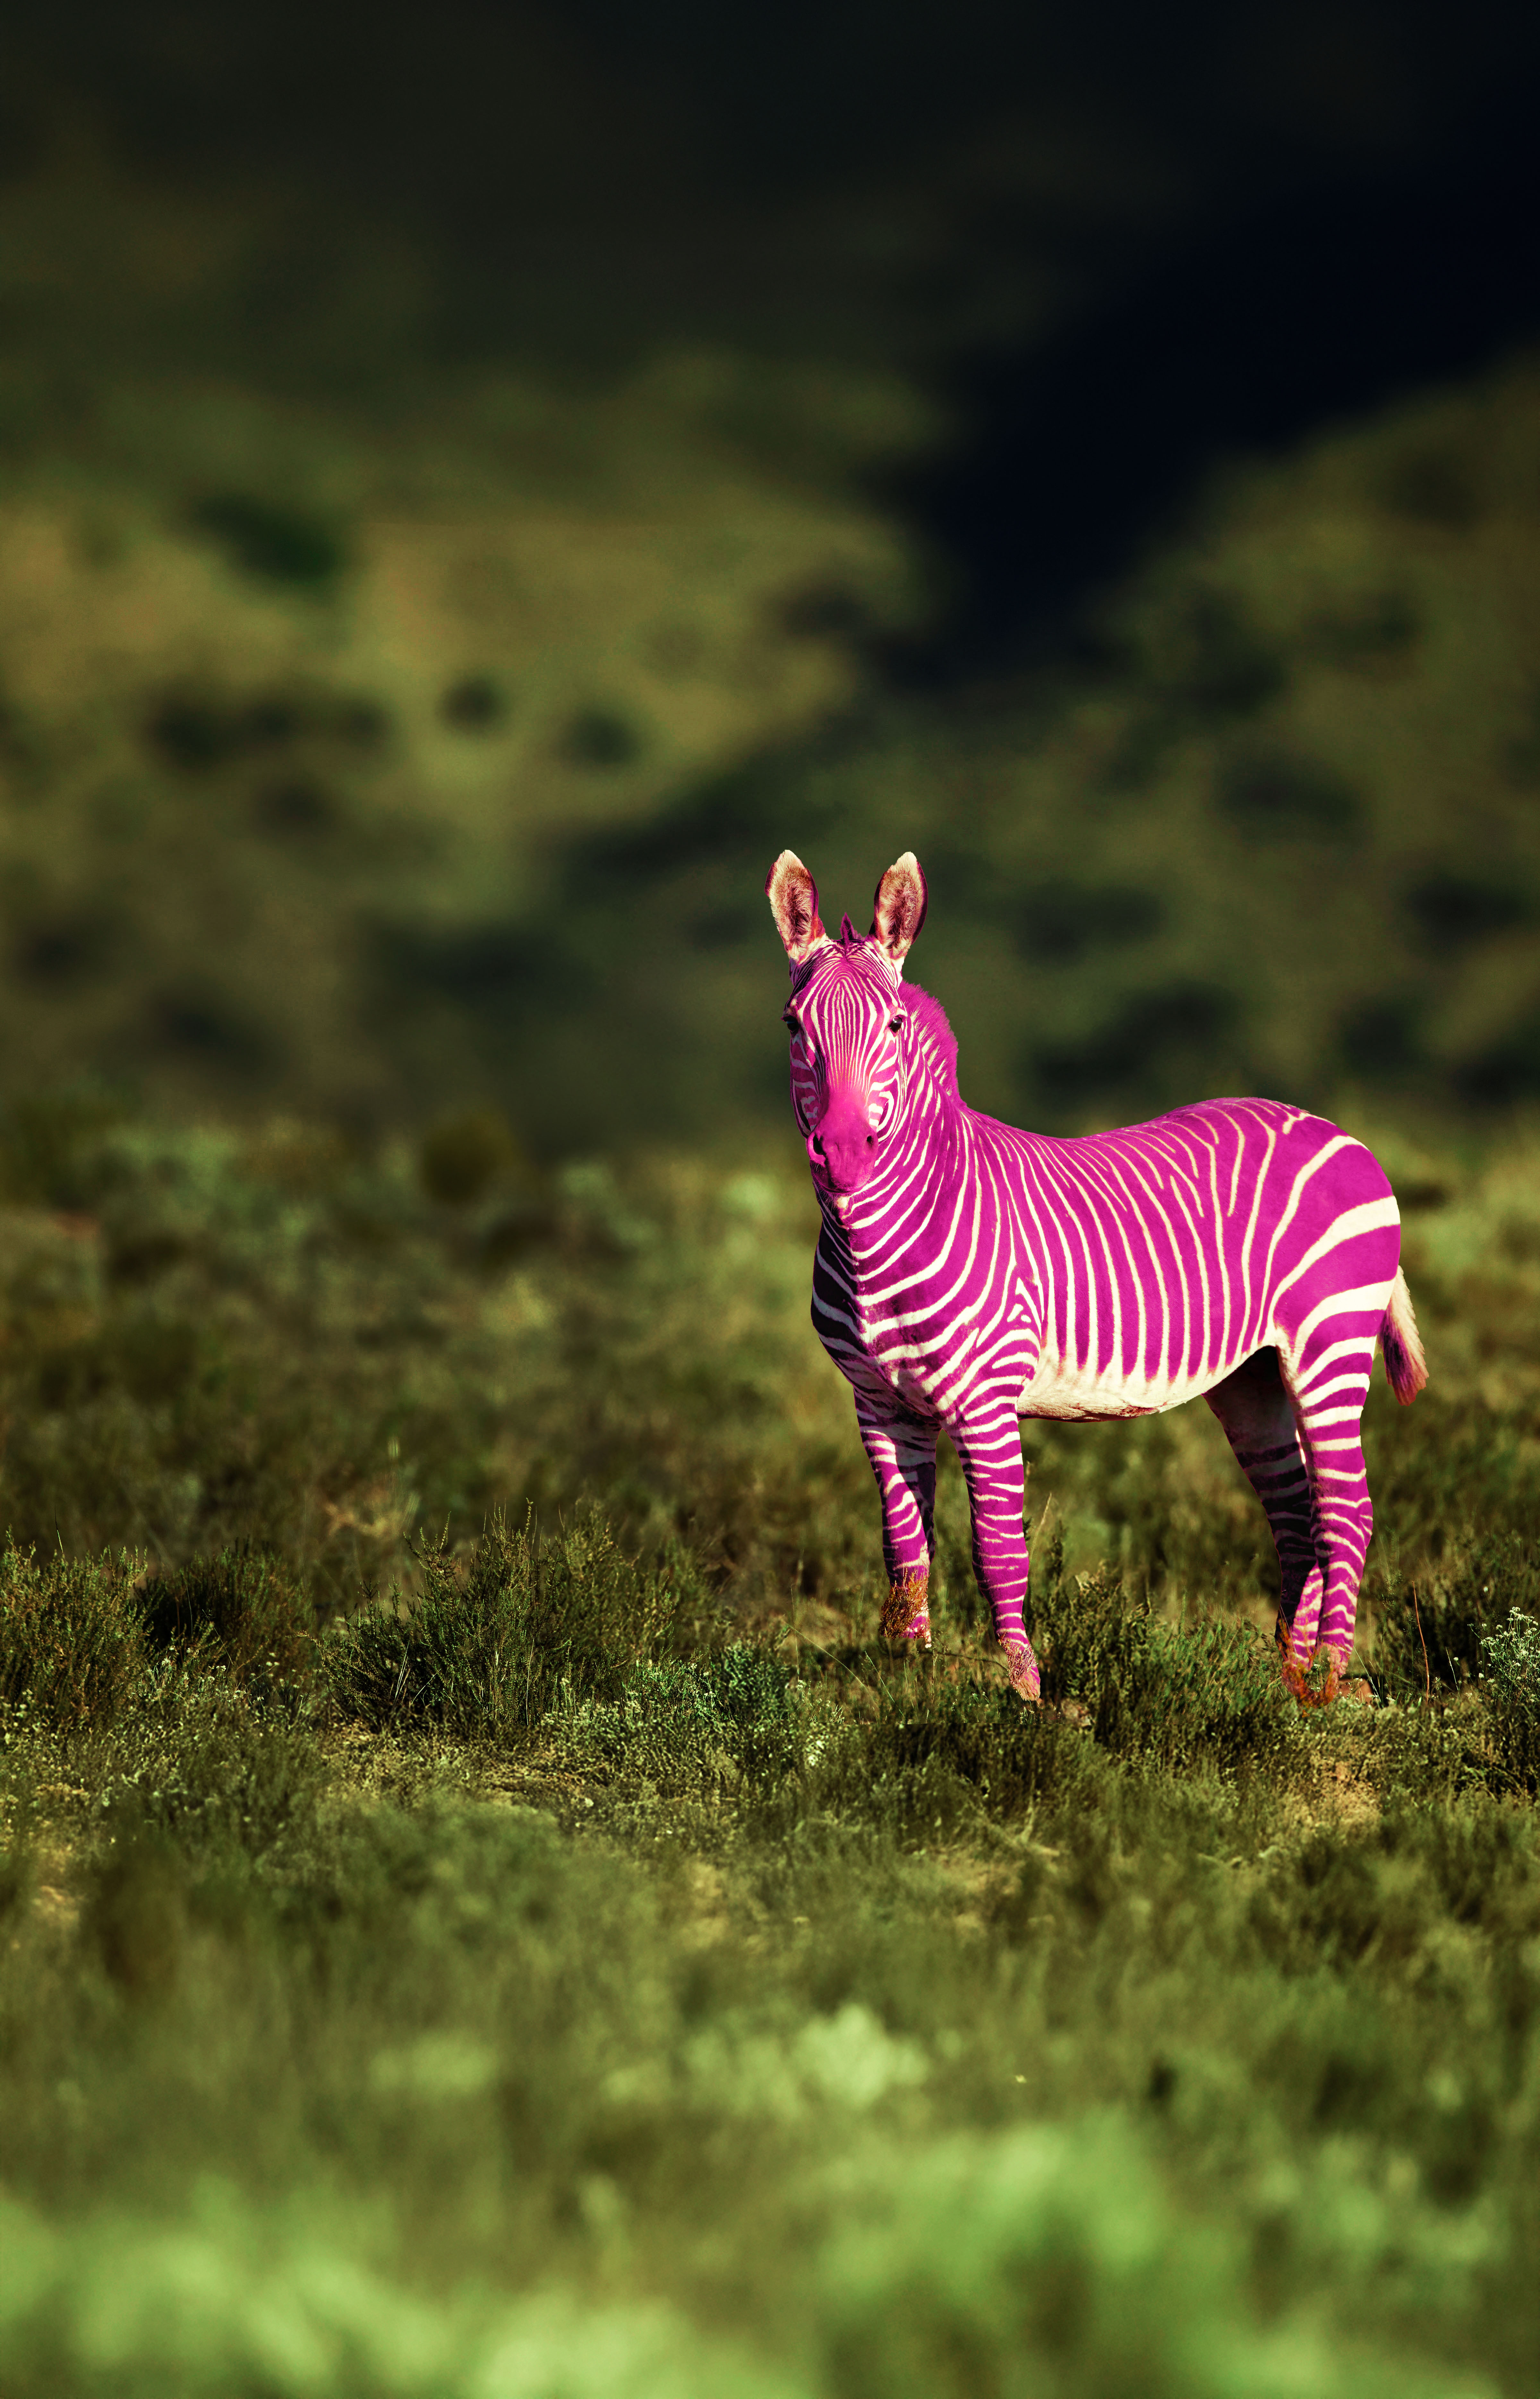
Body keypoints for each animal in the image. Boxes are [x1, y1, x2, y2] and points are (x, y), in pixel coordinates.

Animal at [766, 847, 1426, 1702]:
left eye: (894, 1026)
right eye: (793, 1026)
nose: (844, 1151)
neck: (878, 1246)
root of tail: (1338, 1131)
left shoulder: (984, 1400)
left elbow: (996, 1550)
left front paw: (1025, 1692)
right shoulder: (879, 1405)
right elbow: (904, 1554)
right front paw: (910, 1683)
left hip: (1328, 1345)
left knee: (1347, 1512)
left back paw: (1326, 1682)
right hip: (1252, 1374)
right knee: (1296, 1515)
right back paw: (1283, 1677)